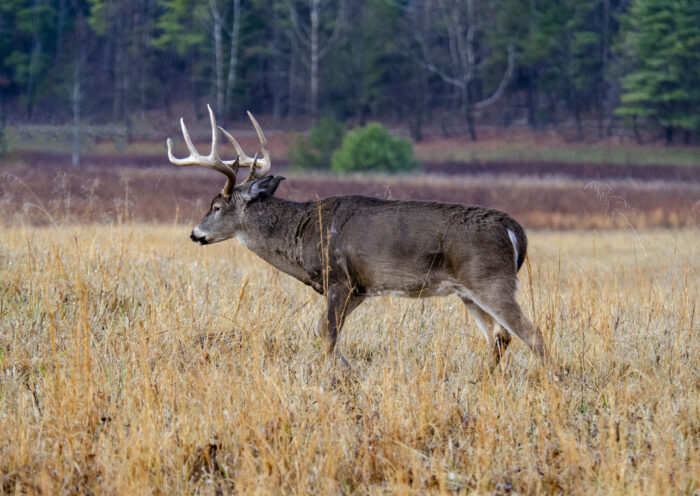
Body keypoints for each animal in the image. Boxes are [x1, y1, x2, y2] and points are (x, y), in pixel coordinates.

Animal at [167, 106, 548, 374]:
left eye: (216, 206)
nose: (195, 234)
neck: (303, 233)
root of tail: (515, 230)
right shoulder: (359, 289)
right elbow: (327, 334)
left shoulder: (339, 278)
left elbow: (325, 334)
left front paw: (339, 376)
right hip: (468, 292)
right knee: (499, 336)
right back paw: (483, 381)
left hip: (491, 279)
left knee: (532, 332)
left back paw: (551, 383)